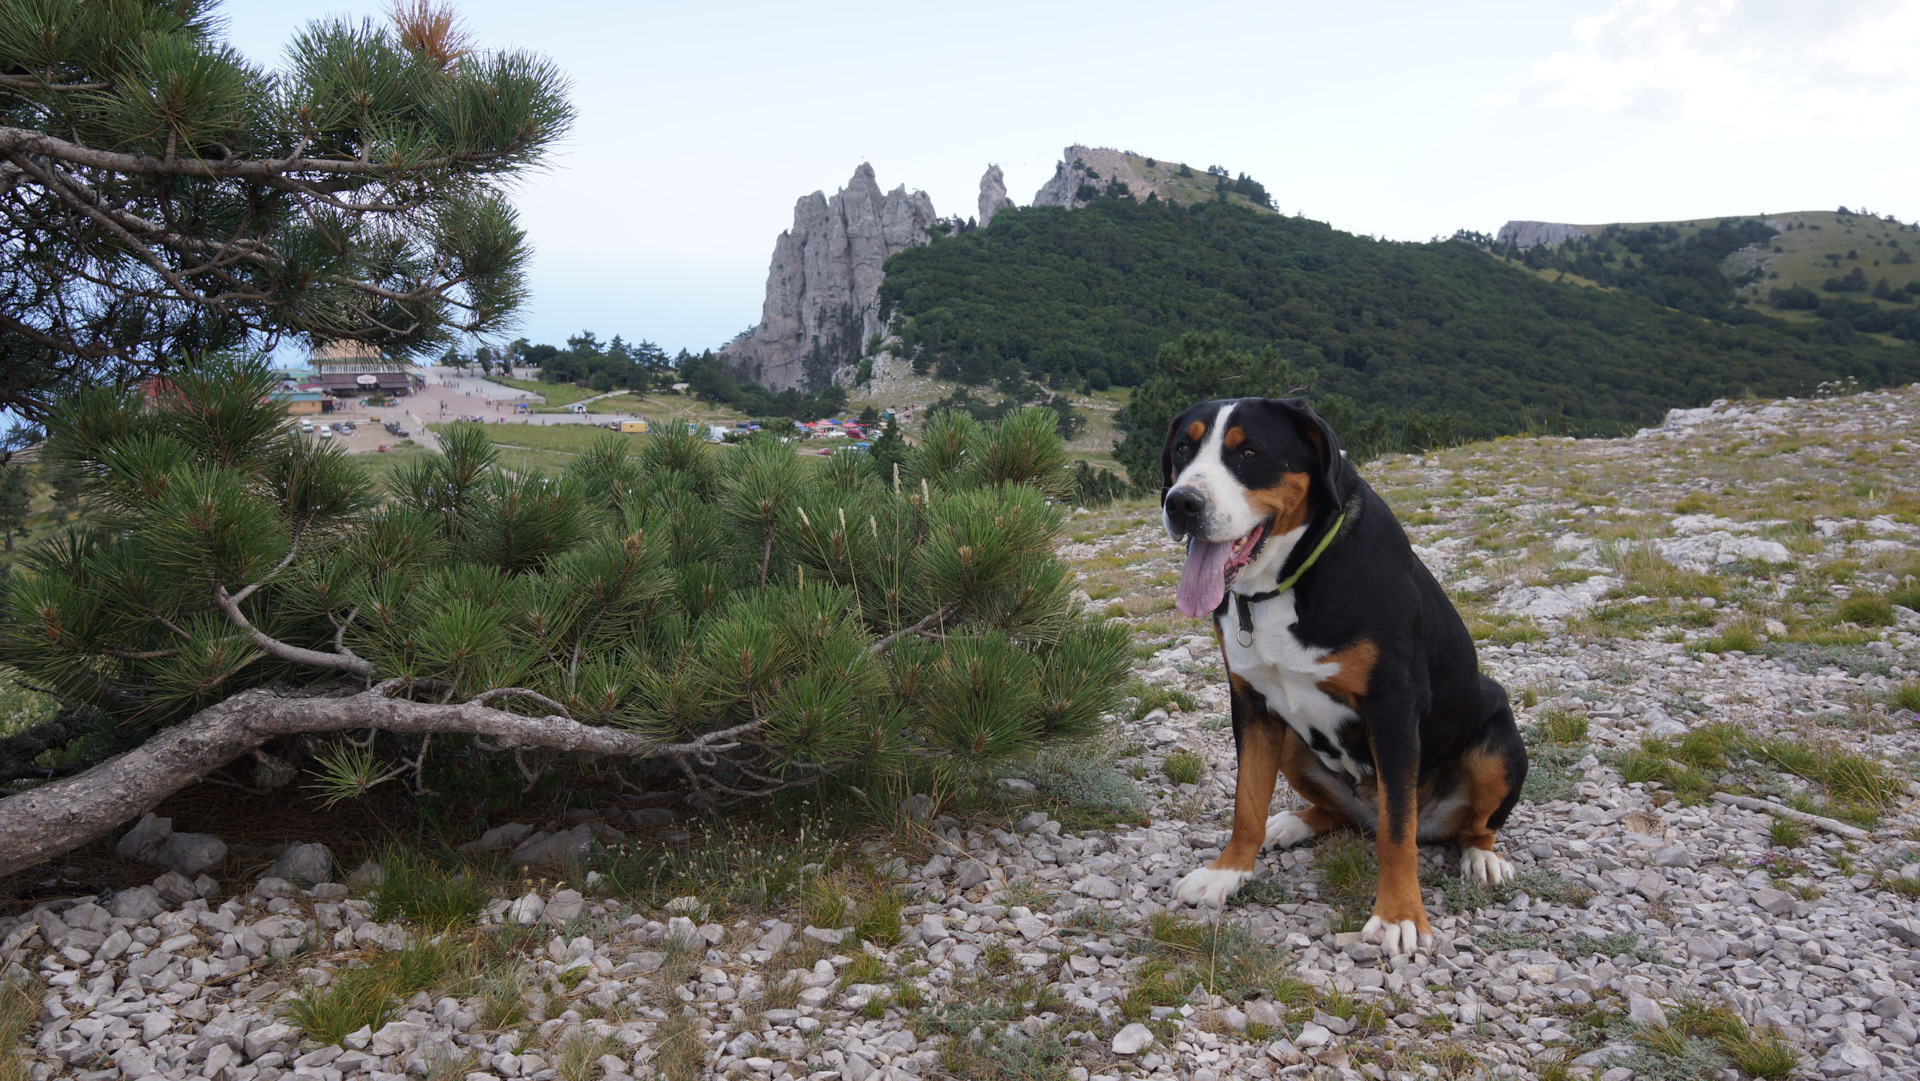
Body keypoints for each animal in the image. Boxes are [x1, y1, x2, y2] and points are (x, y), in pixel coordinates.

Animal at [1152, 397, 1528, 956]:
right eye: (1183, 449)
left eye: (1248, 452)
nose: (1182, 504)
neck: (1284, 581)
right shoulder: (1252, 705)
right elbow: (1247, 804)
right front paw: (1226, 873)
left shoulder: (1393, 709)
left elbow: (1397, 831)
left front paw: (1398, 915)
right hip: (1293, 740)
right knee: (1337, 813)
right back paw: (1292, 822)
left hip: (1498, 739)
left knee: (1466, 825)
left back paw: (1482, 858)